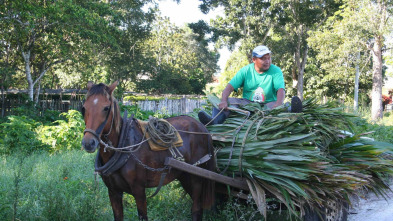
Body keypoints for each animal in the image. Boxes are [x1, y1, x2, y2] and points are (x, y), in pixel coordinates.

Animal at [80, 81, 214, 221]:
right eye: (84, 108)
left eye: (106, 108)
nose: (88, 143)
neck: (123, 146)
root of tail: (202, 127)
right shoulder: (113, 192)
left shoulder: (139, 190)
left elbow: (143, 216)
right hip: (184, 176)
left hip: (197, 178)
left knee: (196, 209)